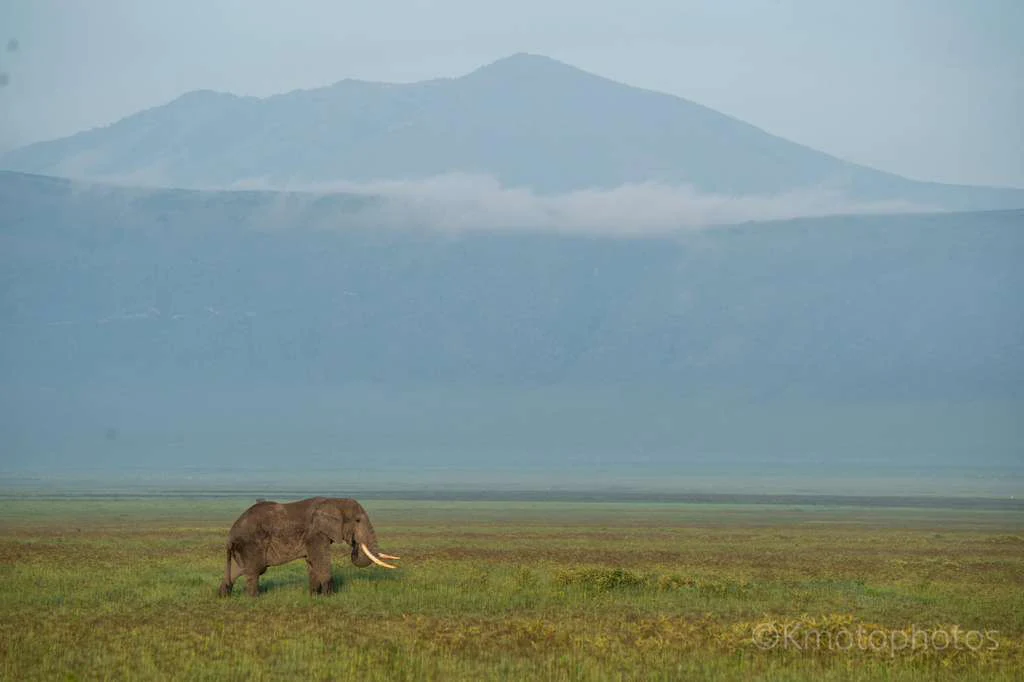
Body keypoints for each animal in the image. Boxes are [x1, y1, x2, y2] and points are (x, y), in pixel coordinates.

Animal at [218, 497, 400, 596]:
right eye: (357, 520)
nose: (355, 544)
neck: (334, 500)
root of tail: (230, 534)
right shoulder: (315, 534)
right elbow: (321, 560)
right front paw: (329, 597)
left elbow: (312, 563)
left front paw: (315, 596)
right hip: (250, 544)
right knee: (254, 571)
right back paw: (254, 599)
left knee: (236, 571)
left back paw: (223, 597)